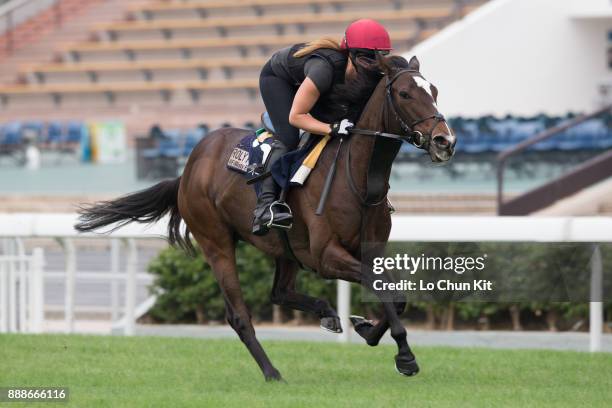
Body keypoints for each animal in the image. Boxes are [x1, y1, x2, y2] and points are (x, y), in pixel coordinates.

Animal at [75, 55, 454, 382]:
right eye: (405, 93)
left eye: (434, 90)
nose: (445, 141)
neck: (358, 177)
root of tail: (188, 169)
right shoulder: (327, 256)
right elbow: (383, 290)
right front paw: (405, 357)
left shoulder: (369, 252)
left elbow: (396, 295)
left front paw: (367, 329)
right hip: (216, 242)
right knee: (239, 316)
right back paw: (272, 372)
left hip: (286, 247)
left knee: (279, 292)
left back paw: (326, 313)